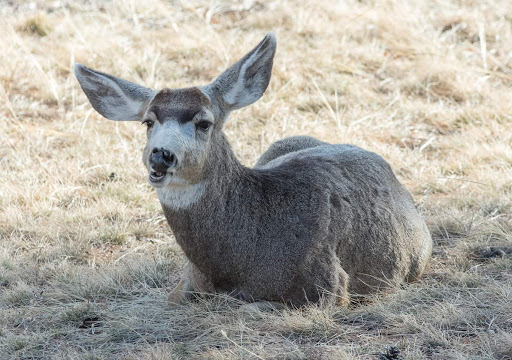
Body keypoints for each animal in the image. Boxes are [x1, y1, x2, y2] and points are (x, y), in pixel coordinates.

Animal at [73, 32, 432, 308]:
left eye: (204, 122)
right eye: (148, 122)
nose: (161, 156)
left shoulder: (328, 285)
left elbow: (251, 306)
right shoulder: (183, 286)